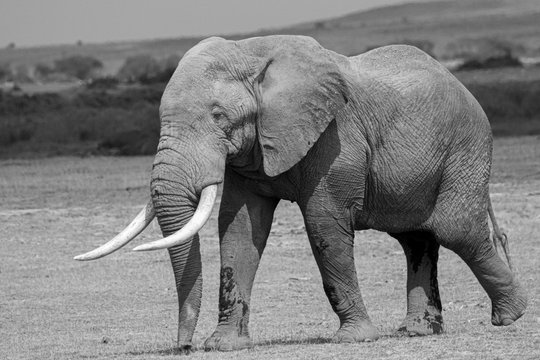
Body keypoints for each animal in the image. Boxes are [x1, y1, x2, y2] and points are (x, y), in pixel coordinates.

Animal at [74, 35, 524, 352]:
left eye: (218, 116)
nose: (182, 347)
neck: (252, 54)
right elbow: (239, 230)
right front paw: (223, 346)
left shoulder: (337, 138)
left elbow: (324, 225)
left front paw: (354, 339)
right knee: (416, 240)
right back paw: (416, 333)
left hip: (467, 147)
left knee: (454, 230)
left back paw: (509, 317)